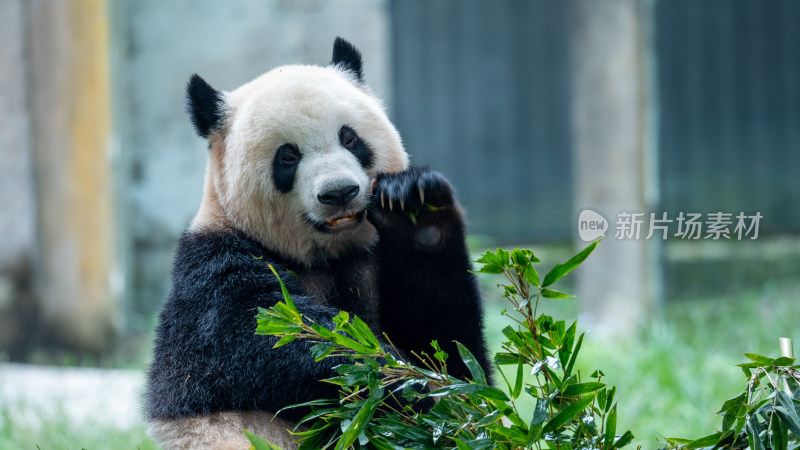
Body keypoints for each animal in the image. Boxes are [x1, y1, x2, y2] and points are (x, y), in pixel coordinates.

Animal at [146, 39, 490, 450]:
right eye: (288, 155)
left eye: (350, 138)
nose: (339, 192)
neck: (327, 255)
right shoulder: (211, 274)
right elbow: (276, 339)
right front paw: (405, 385)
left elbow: (448, 346)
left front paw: (416, 208)